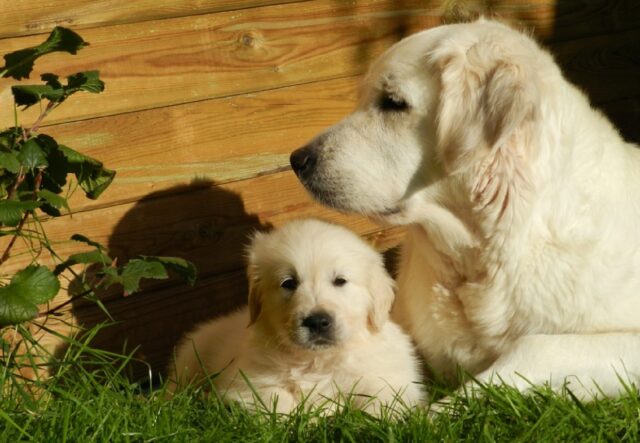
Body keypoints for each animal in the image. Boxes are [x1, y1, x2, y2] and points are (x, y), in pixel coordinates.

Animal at [169, 219, 424, 416]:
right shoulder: (246, 382)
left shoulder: (393, 380)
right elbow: (277, 400)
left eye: (340, 281)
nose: (318, 321)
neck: (316, 360)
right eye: (289, 283)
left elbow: (379, 402)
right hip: (191, 355)